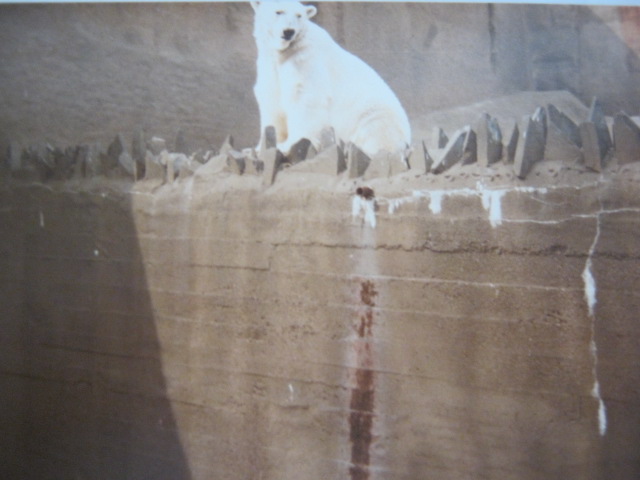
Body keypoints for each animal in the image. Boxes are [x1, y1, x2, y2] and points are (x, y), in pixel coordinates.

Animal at [250, 1, 411, 161]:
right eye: (278, 12)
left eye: (299, 15)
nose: (289, 31)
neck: (284, 52)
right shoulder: (270, 67)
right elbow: (271, 101)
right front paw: (261, 147)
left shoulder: (305, 61)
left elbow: (305, 100)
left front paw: (289, 145)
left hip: (374, 114)